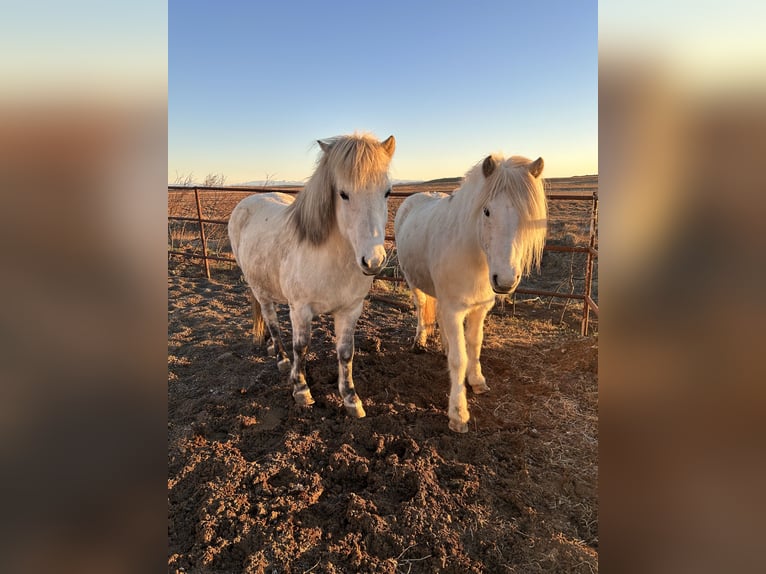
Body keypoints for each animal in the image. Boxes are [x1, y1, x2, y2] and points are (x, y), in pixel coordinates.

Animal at [228, 133, 396, 418]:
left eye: (387, 192)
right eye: (343, 194)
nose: (373, 261)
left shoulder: (351, 310)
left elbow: (346, 353)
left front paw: (351, 399)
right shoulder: (301, 310)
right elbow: (302, 347)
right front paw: (301, 389)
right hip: (259, 289)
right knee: (271, 320)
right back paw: (282, 358)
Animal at [394, 154, 547, 432]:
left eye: (527, 215)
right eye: (486, 211)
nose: (505, 280)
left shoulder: (479, 308)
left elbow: (473, 346)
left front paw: (477, 381)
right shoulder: (454, 309)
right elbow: (459, 358)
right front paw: (458, 414)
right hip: (414, 282)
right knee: (421, 308)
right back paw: (419, 342)